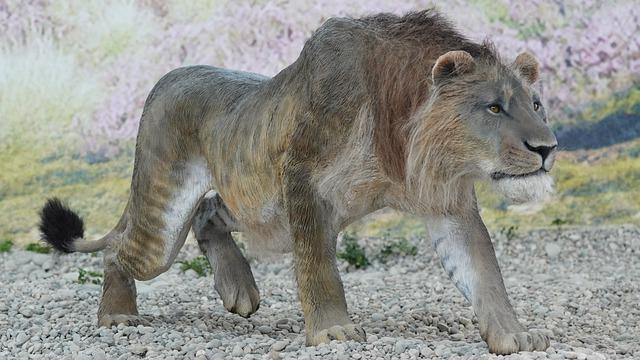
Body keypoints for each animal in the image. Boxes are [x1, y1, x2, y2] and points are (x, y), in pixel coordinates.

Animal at [41, 10, 556, 354]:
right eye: (493, 107)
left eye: (536, 104)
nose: (547, 148)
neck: (401, 130)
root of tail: (164, 79)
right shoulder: (303, 179)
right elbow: (318, 266)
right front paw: (333, 332)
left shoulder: (447, 202)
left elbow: (483, 272)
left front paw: (513, 334)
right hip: (166, 218)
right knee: (119, 250)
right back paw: (117, 315)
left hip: (263, 210)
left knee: (208, 212)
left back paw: (238, 290)